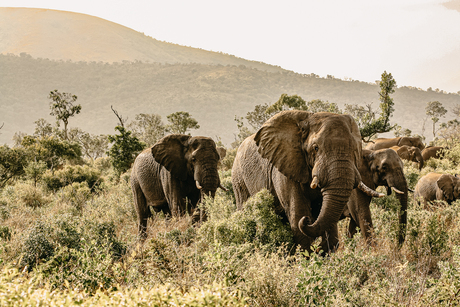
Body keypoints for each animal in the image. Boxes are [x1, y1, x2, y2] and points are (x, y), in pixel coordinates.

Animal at [232, 110, 382, 253]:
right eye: (315, 148)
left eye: (355, 149)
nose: (308, 220)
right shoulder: (284, 168)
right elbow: (297, 212)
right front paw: (308, 257)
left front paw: (320, 250)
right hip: (239, 181)